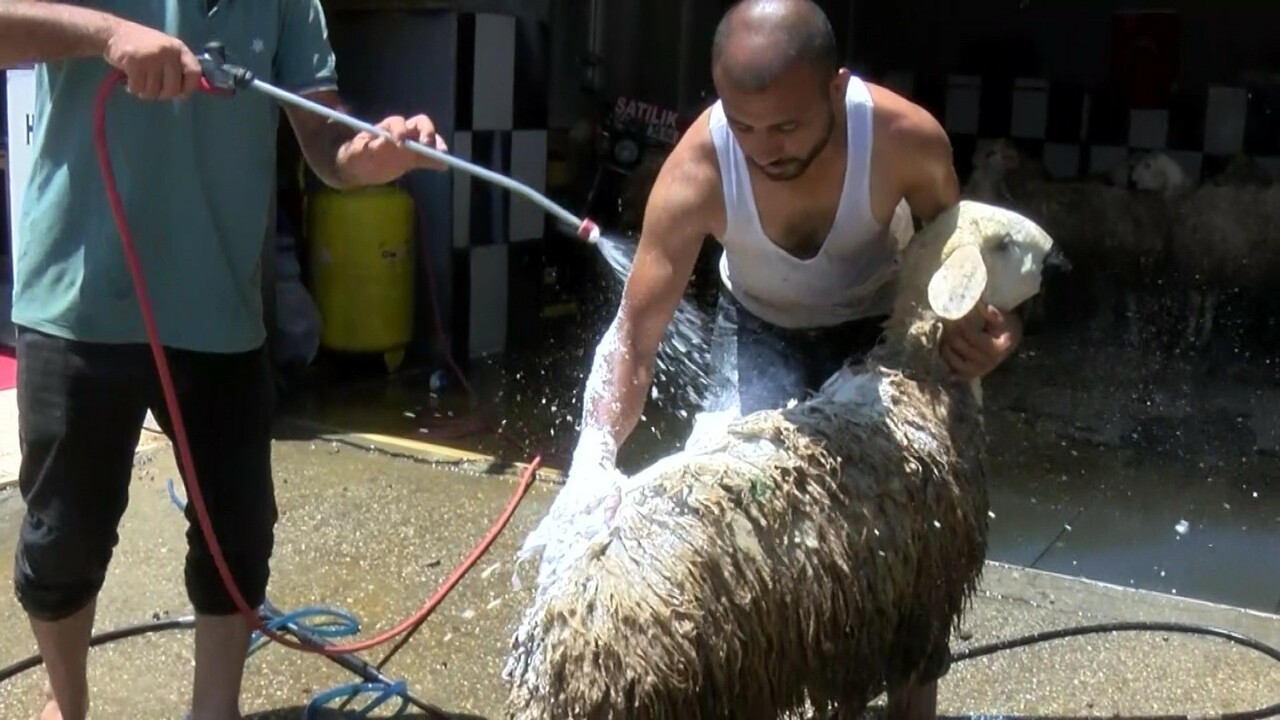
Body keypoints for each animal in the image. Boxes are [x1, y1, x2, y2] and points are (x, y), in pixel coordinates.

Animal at [1131, 150, 1280, 348]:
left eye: (1148, 165)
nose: (1132, 182)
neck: (1182, 201)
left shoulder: (1198, 266)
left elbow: (1197, 306)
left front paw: (1192, 335)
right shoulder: (1212, 269)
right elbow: (1209, 305)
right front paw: (1202, 335)